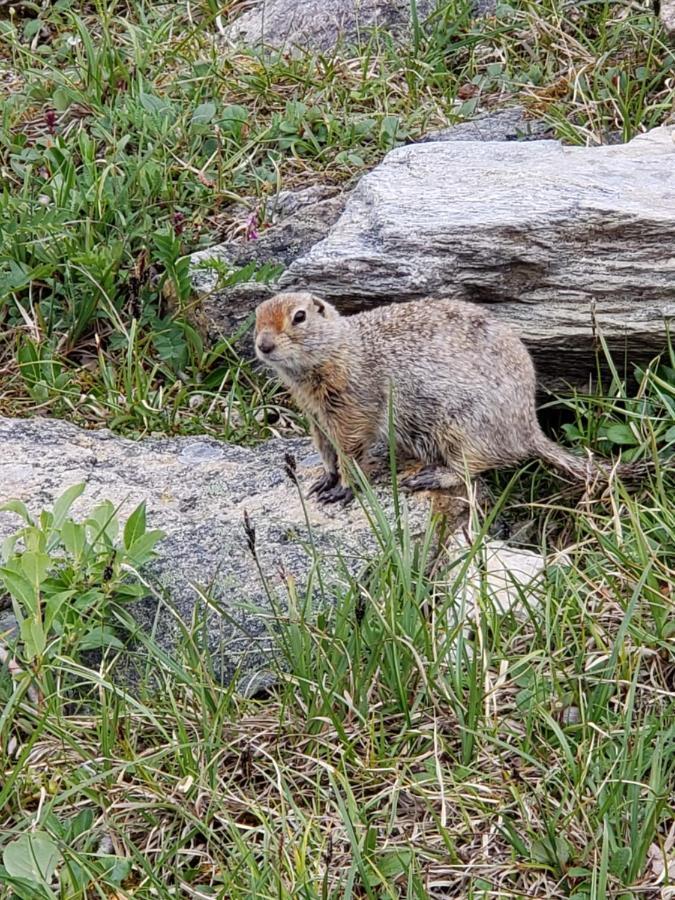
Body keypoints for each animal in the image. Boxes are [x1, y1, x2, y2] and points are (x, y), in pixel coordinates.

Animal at [252, 294, 640, 506]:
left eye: (299, 317)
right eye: (255, 316)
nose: (263, 345)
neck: (341, 348)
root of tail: (530, 429)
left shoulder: (351, 407)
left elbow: (351, 450)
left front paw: (343, 489)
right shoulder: (315, 415)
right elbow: (325, 449)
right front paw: (324, 479)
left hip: (463, 428)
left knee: (474, 468)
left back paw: (432, 476)